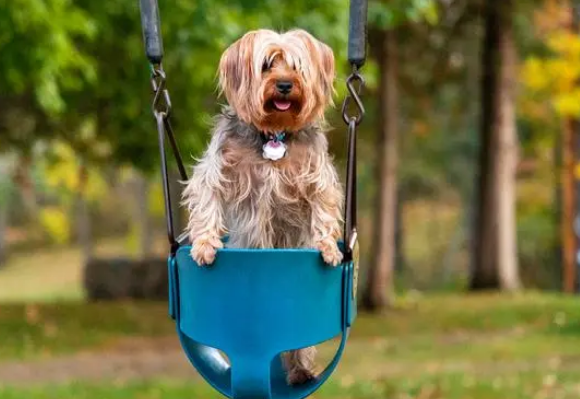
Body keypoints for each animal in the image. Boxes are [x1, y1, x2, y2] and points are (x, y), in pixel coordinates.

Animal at [184, 28, 342, 388]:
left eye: (297, 67)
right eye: (267, 64)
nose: (284, 85)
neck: (274, 131)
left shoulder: (317, 175)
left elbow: (323, 208)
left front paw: (328, 246)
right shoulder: (217, 167)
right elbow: (207, 200)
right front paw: (204, 245)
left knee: (298, 344)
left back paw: (300, 371)